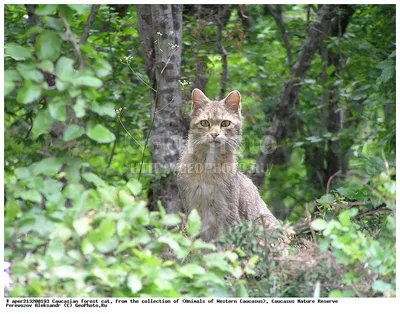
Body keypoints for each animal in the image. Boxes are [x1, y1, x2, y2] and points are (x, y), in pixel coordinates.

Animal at [177, 89, 280, 242]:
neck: (208, 166)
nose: (214, 134)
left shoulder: (228, 210)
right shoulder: (191, 206)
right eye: (204, 123)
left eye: (225, 123)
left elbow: (227, 241)